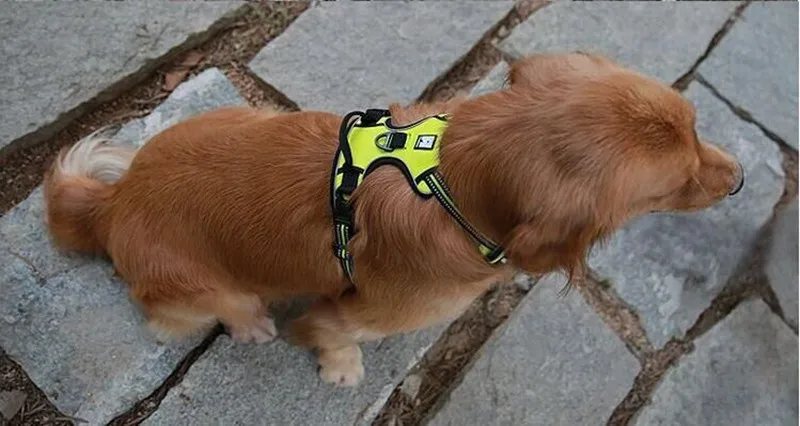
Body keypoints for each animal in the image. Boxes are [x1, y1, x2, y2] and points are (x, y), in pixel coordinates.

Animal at [43, 53, 743, 386]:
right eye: (677, 183)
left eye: (696, 126)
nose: (739, 180)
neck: (445, 179)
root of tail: (114, 203)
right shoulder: (349, 312)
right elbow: (333, 333)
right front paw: (341, 367)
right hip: (197, 290)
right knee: (193, 312)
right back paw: (247, 323)